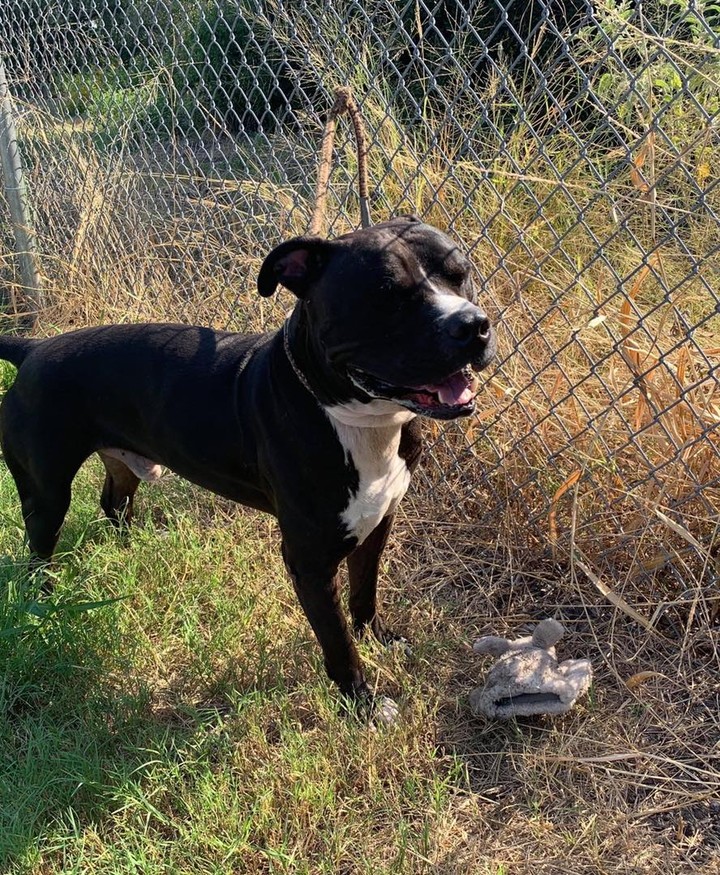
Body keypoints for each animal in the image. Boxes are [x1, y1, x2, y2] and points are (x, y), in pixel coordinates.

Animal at [0, 216, 496, 724]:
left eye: (461, 274)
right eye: (385, 294)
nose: (473, 325)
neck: (358, 420)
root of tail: (33, 349)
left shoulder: (378, 522)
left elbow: (365, 591)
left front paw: (379, 639)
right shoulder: (310, 562)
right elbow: (338, 643)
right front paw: (363, 703)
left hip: (122, 460)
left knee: (114, 500)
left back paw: (134, 543)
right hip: (45, 493)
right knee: (38, 551)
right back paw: (44, 602)